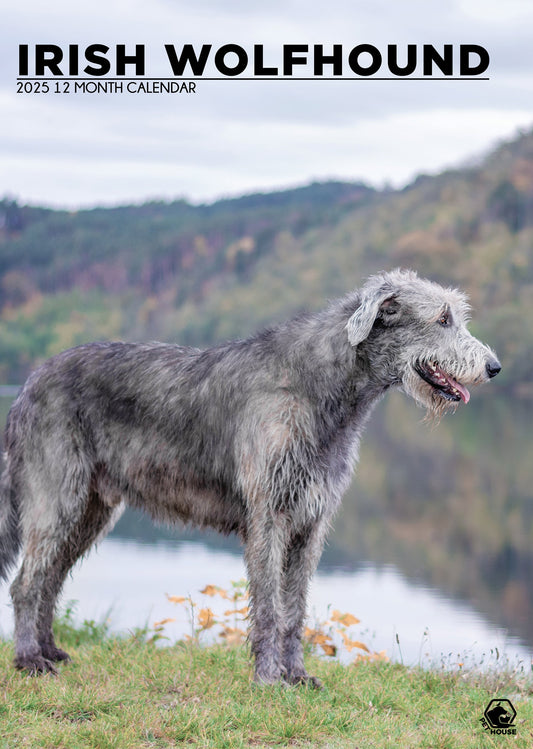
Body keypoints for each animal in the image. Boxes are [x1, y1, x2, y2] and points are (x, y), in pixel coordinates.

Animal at [0, 268, 498, 684]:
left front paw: (297, 675)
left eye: (456, 316)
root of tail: (29, 382)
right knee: (26, 583)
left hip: (90, 510)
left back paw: (50, 650)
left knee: (50, 579)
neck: (318, 387)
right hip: (56, 497)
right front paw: (268, 678)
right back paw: (28, 660)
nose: (494, 367)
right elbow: (269, 606)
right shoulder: (269, 517)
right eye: (443, 318)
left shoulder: (310, 523)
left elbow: (295, 608)